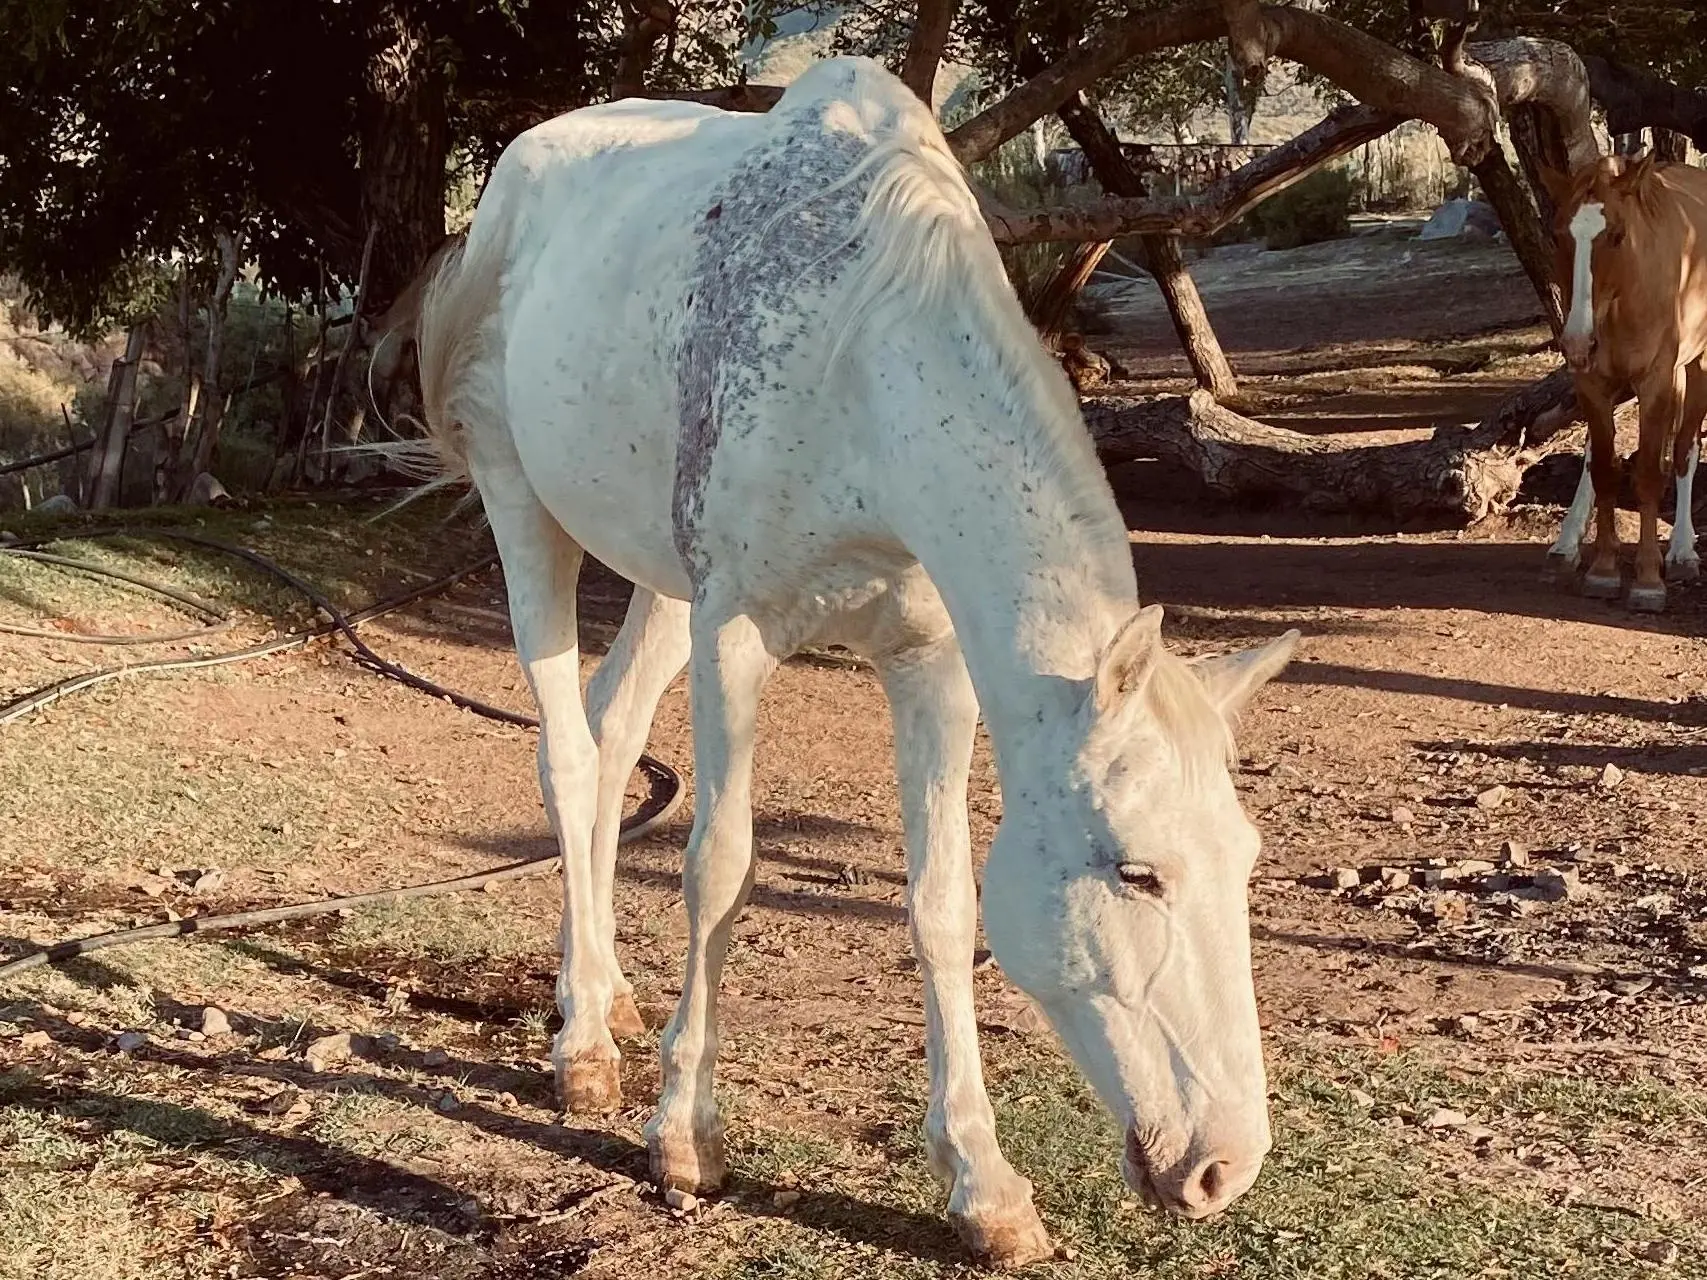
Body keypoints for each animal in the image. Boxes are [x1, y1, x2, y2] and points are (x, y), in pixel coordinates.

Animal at [409, 55, 1290, 1269]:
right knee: (568, 755)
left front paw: (984, 1185)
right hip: (523, 506)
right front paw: (685, 1137)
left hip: (661, 577)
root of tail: (512, 180)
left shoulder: (928, 663)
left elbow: (942, 904)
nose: (1223, 1166)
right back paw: (585, 1044)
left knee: (612, 728)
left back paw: (605, 995)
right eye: (1137, 871)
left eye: (1243, 863)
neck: (862, 360)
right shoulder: (735, 632)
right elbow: (719, 867)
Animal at [1543, 155, 1700, 617]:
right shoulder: (1592, 384)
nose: (1578, 341)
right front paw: (1604, 570)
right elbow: (1605, 470)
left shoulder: (1655, 381)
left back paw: (1682, 551)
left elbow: (1648, 474)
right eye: (1558, 234)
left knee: (1684, 449)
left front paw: (1648, 580)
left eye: (1616, 235)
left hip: (1698, 366)